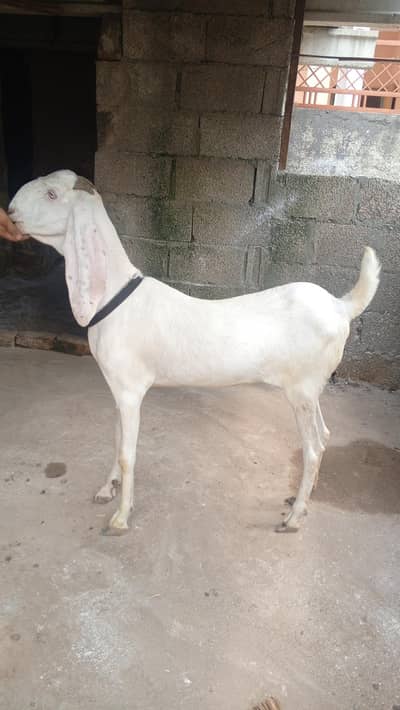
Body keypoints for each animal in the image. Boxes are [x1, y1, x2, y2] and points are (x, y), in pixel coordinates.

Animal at [9, 170, 380, 535]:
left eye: (52, 194)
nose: (10, 211)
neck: (115, 296)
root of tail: (340, 306)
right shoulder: (116, 387)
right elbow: (115, 439)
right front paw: (106, 489)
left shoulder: (130, 391)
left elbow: (128, 453)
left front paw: (120, 517)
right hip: (311, 388)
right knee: (325, 434)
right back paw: (305, 496)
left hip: (301, 390)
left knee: (313, 447)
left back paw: (294, 517)